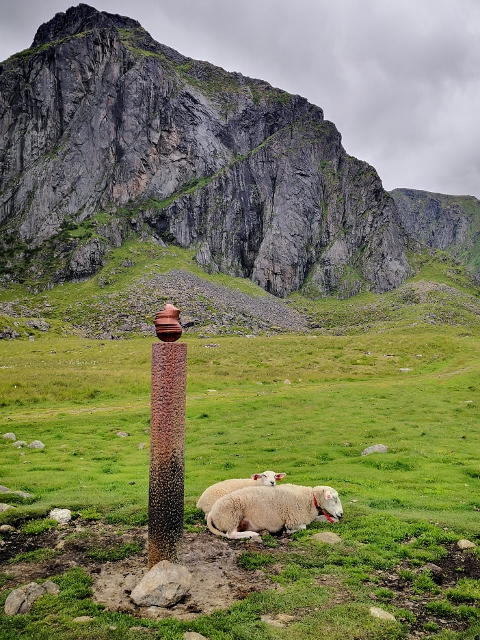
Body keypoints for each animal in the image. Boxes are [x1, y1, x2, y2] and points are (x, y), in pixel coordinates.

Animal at [206, 484, 342, 540]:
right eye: (334, 499)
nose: (341, 514)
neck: (310, 499)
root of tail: (212, 513)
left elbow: (324, 519)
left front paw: (335, 519)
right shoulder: (293, 518)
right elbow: (303, 527)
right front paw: (288, 531)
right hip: (231, 516)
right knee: (231, 534)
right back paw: (252, 534)